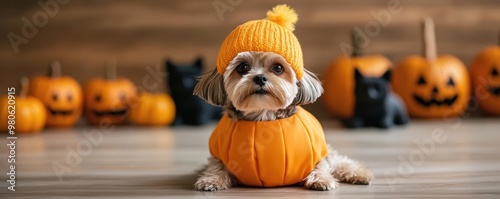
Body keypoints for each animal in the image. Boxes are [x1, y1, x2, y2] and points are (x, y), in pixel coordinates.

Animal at [193, 4, 374, 191]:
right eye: (242, 67)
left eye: (278, 68)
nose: (260, 78)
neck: (263, 114)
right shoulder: (218, 153)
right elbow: (216, 165)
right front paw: (212, 179)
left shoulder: (316, 150)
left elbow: (321, 165)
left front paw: (321, 179)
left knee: (340, 161)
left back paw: (359, 174)